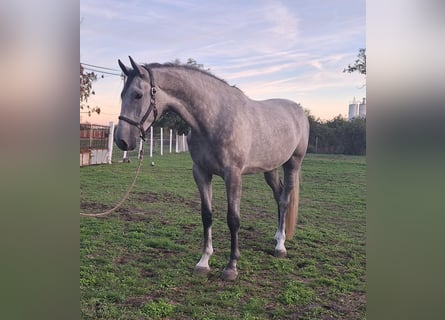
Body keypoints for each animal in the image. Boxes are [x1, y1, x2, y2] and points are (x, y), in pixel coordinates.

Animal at [115, 57, 308, 280]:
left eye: (138, 94)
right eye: (122, 94)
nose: (121, 140)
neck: (214, 118)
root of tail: (299, 111)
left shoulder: (233, 175)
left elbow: (233, 219)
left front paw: (231, 267)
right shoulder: (201, 173)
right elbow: (206, 215)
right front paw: (203, 262)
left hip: (293, 164)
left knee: (285, 200)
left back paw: (280, 247)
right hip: (271, 168)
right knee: (278, 195)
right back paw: (277, 235)